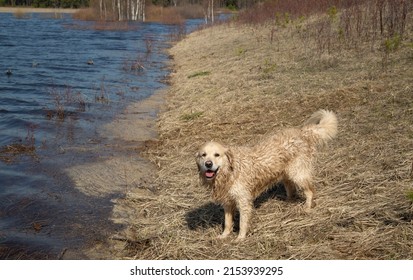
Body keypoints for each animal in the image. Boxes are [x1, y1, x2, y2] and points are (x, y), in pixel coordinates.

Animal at [195, 109, 336, 241]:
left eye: (217, 155)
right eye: (203, 155)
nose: (208, 164)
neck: (229, 172)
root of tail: (303, 132)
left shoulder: (243, 201)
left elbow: (242, 222)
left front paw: (240, 238)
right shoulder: (228, 202)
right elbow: (227, 222)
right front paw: (224, 235)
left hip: (297, 173)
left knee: (310, 191)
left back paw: (307, 207)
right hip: (286, 173)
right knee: (291, 188)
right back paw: (288, 201)